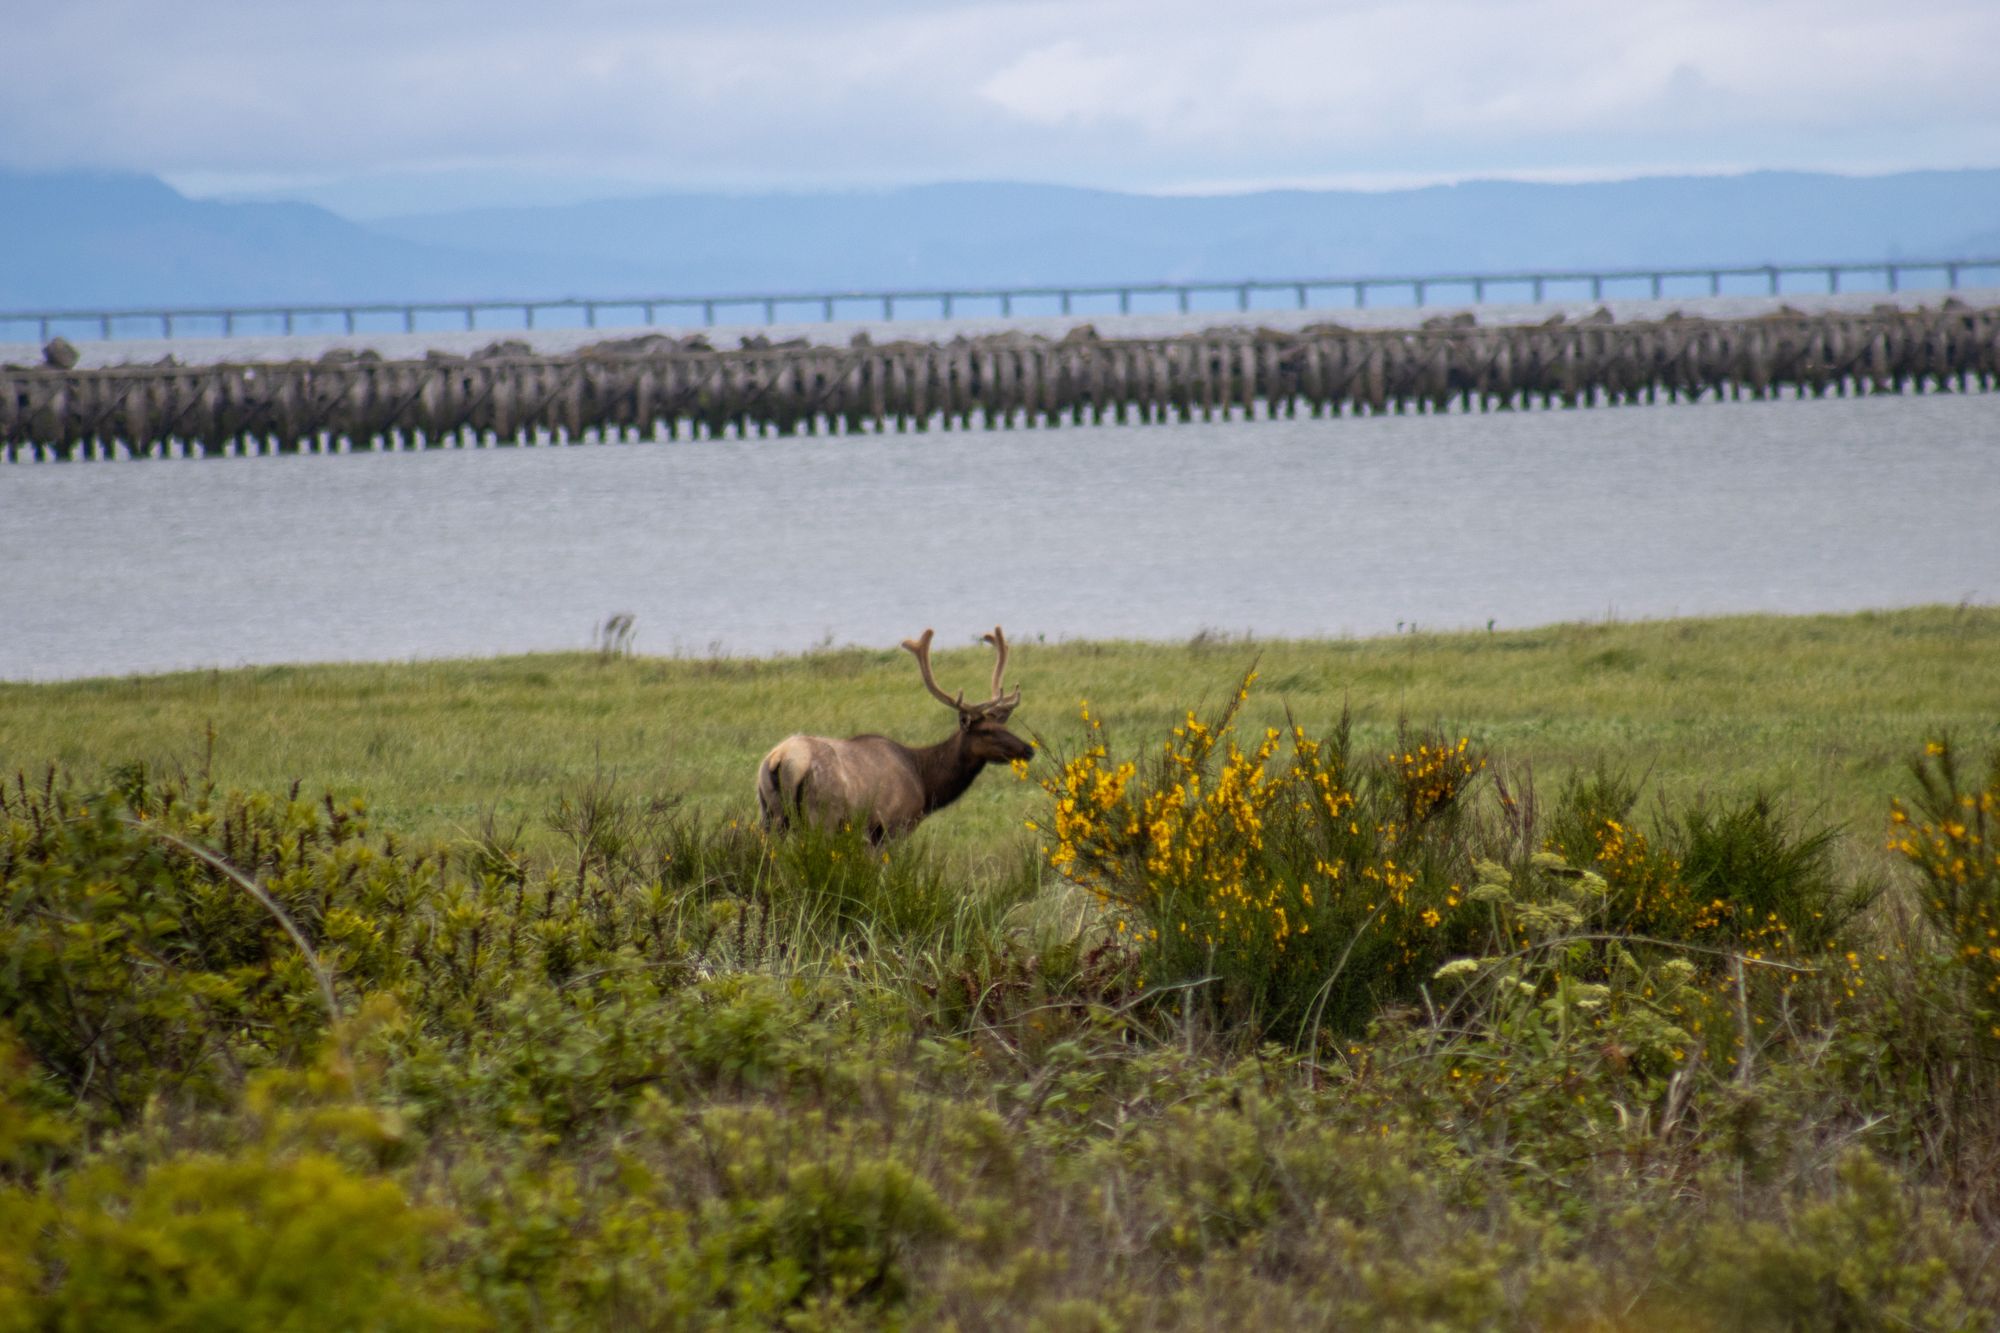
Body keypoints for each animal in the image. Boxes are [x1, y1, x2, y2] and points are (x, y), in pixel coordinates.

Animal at [752, 624, 1032, 836]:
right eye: (985, 731)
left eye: (1003, 725)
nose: (1028, 749)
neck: (925, 783)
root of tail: (780, 759)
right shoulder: (893, 823)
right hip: (821, 814)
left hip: (769, 813)